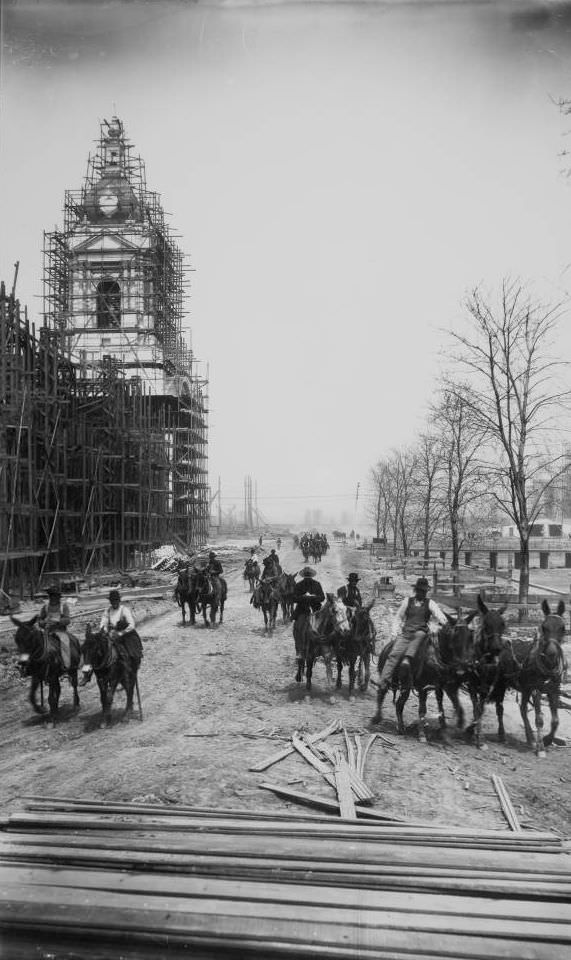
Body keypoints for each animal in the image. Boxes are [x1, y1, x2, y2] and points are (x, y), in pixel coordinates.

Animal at [376, 616, 478, 744]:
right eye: (455, 635)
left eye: (470, 636)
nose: (466, 665)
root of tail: (386, 647)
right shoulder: (422, 687)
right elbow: (422, 710)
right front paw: (422, 735)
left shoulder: (439, 687)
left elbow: (441, 708)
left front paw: (444, 732)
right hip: (390, 677)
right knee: (383, 693)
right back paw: (378, 719)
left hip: (406, 686)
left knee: (399, 704)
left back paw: (401, 727)